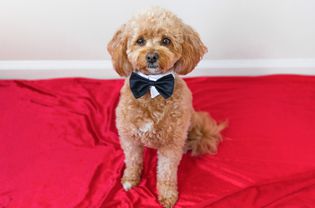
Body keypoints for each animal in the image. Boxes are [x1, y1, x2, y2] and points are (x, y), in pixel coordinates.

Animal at [107, 7, 226, 207]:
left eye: (166, 41)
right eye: (140, 41)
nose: (152, 56)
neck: (152, 86)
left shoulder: (171, 145)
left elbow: (166, 173)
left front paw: (168, 195)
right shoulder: (129, 138)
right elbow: (133, 161)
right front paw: (130, 180)